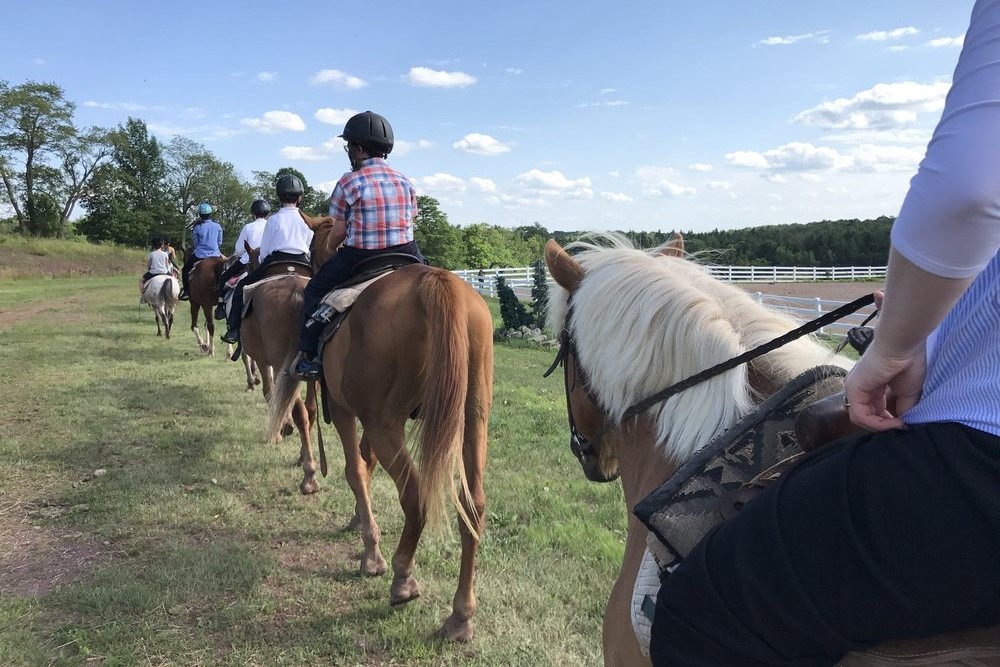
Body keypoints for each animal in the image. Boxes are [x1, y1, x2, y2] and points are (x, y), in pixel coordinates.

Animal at [239, 245, 320, 496]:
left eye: (249, 264)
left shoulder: (264, 361)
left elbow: (270, 392)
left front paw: (280, 430)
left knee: (300, 411)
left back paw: (309, 476)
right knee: (309, 410)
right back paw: (304, 458)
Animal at [268, 214, 494, 640]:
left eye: (314, 246)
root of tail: (433, 284)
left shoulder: (344, 410)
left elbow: (356, 469)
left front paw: (371, 551)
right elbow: (366, 464)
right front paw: (361, 520)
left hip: (384, 423)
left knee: (415, 495)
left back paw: (402, 577)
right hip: (471, 420)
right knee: (472, 506)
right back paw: (460, 616)